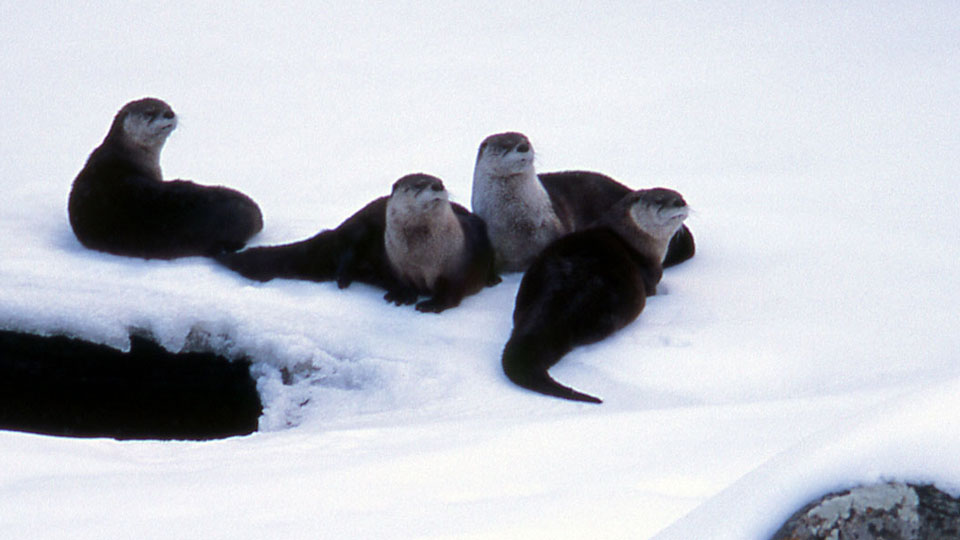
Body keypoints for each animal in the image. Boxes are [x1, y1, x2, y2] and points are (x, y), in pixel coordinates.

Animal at [216, 174, 499, 313]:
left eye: (439, 181)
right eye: (420, 185)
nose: (438, 186)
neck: (423, 259)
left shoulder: (459, 266)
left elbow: (452, 292)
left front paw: (432, 304)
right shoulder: (399, 266)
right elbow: (402, 282)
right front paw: (402, 294)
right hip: (358, 226)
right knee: (347, 251)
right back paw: (345, 278)